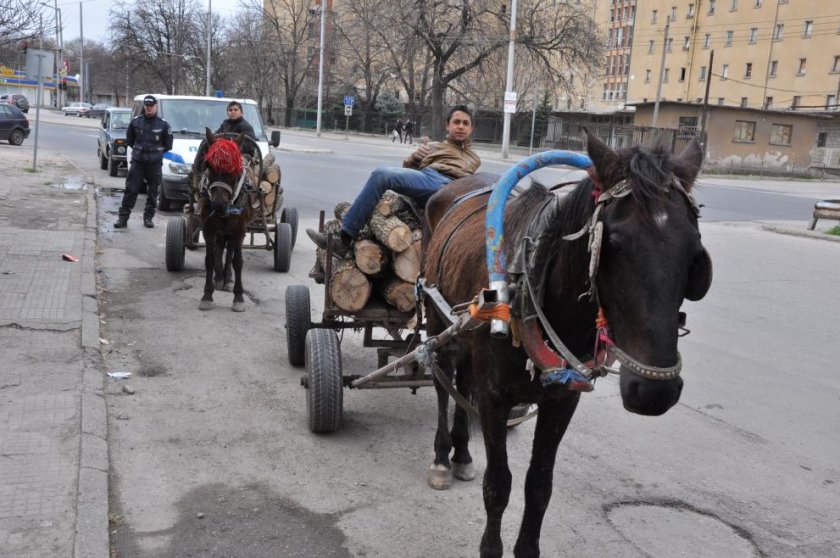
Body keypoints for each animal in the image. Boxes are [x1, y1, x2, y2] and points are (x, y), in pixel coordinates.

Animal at [424, 132, 712, 558]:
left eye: (694, 251)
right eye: (614, 243)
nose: (654, 392)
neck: (532, 280)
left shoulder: (563, 399)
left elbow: (539, 485)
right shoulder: (495, 398)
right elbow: (498, 485)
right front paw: (491, 547)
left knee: (462, 382)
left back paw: (461, 453)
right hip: (436, 320)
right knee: (442, 384)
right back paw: (443, 458)